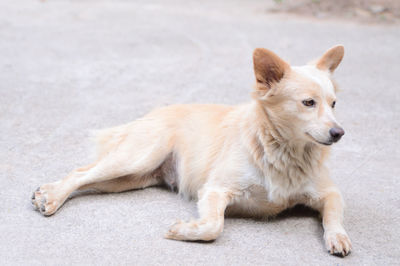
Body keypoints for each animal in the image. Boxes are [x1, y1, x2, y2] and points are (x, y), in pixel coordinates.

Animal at [31, 44, 350, 256]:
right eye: (308, 103)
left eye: (334, 104)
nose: (339, 133)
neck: (282, 152)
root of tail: (154, 113)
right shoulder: (215, 190)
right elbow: (214, 226)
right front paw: (184, 231)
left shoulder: (330, 193)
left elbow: (334, 216)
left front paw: (338, 237)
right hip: (135, 159)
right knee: (80, 172)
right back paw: (52, 197)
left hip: (129, 179)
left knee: (89, 178)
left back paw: (47, 192)